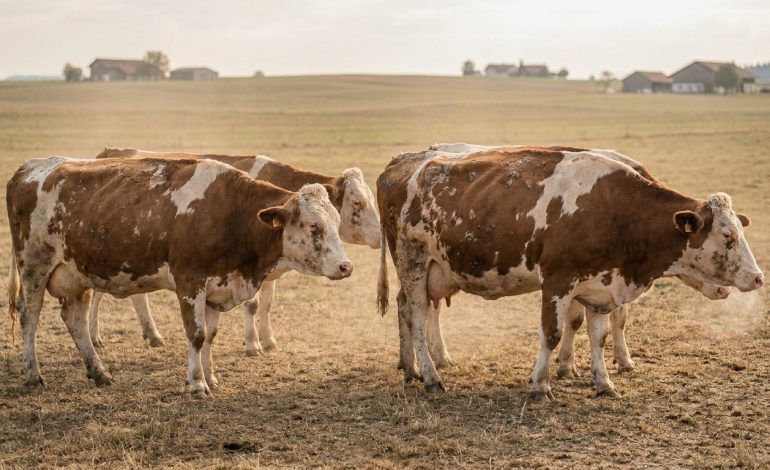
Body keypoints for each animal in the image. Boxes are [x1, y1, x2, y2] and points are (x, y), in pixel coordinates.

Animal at [7, 156, 352, 397]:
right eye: (313, 226)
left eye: (337, 222)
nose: (345, 266)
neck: (231, 213)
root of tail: (28, 168)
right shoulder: (190, 282)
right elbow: (196, 335)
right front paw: (197, 384)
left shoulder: (217, 286)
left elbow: (210, 335)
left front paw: (212, 377)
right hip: (34, 264)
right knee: (29, 316)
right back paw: (33, 375)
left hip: (76, 274)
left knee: (74, 319)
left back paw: (99, 373)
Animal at [88, 148, 380, 355]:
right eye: (357, 203)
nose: (380, 236)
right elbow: (252, 305)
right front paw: (253, 344)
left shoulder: (270, 272)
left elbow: (266, 304)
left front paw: (268, 339)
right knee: (97, 294)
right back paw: (95, 335)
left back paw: (151, 335)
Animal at [376, 146, 763, 400]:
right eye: (728, 237)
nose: (758, 278)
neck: (615, 210)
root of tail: (401, 163)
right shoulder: (557, 281)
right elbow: (552, 332)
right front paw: (540, 385)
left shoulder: (601, 286)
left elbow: (598, 335)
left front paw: (603, 382)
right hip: (412, 261)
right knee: (417, 314)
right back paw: (430, 375)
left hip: (432, 270)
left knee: (407, 310)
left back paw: (410, 368)